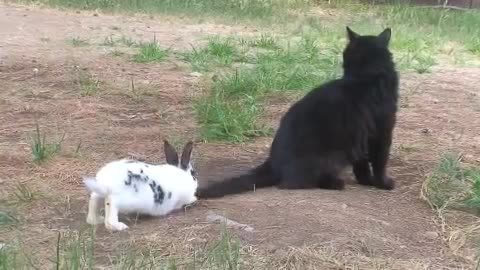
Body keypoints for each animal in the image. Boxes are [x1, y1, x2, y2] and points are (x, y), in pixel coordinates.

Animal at [197, 27, 400, 198]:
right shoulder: (382, 132)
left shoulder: (360, 138)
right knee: (299, 182)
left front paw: (366, 181)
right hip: (334, 155)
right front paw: (383, 183)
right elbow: (380, 162)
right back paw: (336, 183)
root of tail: (273, 163)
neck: (365, 76)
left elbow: (362, 164)